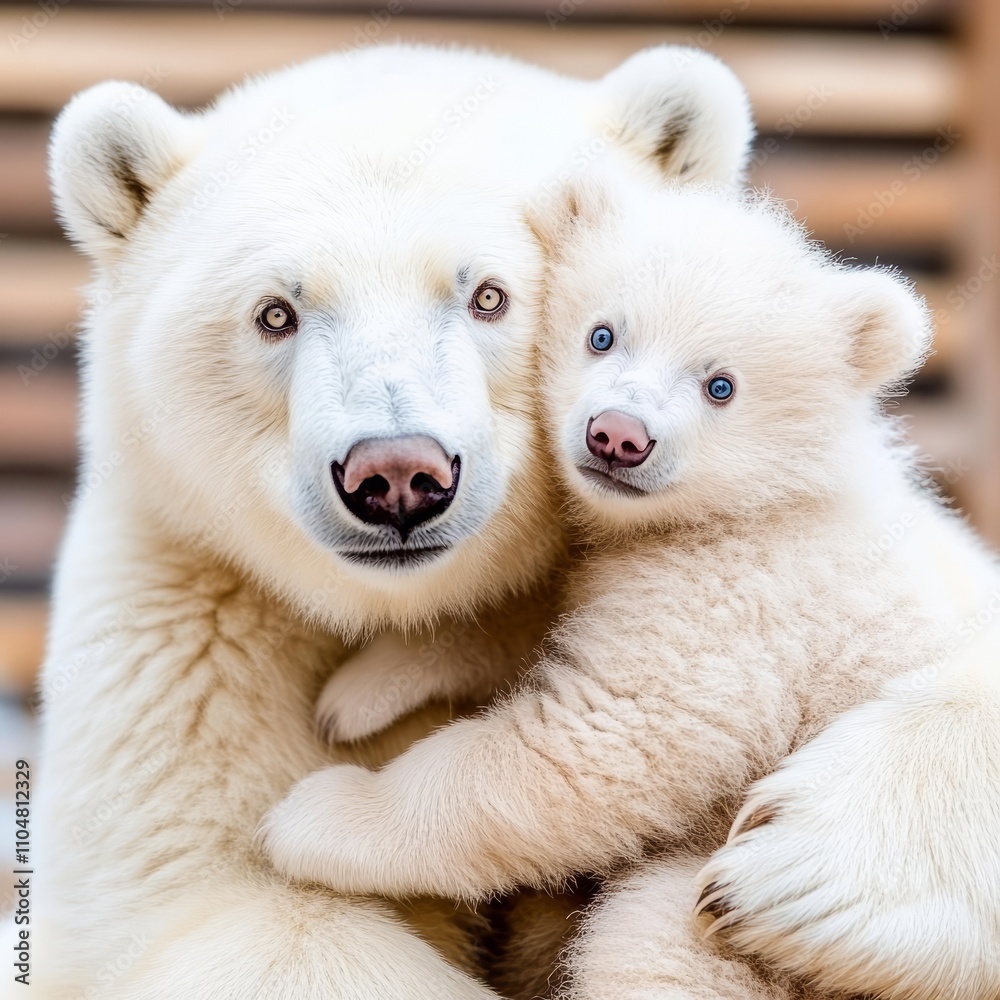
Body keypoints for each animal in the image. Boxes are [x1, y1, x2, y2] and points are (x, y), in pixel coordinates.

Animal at [258, 178, 972, 999]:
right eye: (603, 335)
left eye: (720, 385)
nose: (619, 435)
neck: (773, 502)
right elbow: (534, 622)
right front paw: (360, 690)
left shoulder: (740, 597)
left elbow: (595, 739)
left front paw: (312, 815)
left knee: (653, 943)